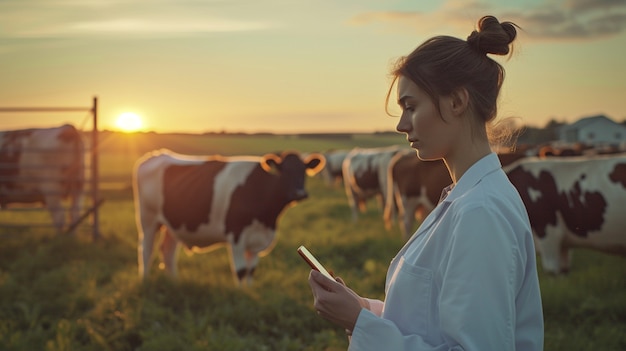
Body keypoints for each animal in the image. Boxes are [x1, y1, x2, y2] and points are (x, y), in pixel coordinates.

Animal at [133, 148, 324, 286]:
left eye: (304, 170)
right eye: (283, 170)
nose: (300, 193)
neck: (267, 220)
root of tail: (157, 154)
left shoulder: (256, 240)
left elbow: (251, 270)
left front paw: (249, 290)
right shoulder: (237, 234)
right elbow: (241, 270)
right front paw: (241, 294)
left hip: (174, 224)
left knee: (168, 251)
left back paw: (174, 282)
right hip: (148, 219)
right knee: (146, 250)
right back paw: (145, 281)